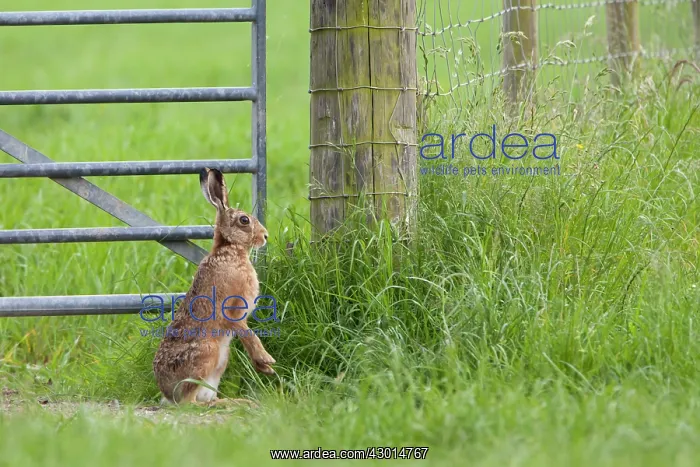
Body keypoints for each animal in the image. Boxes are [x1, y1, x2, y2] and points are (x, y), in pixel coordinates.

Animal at [153, 168, 276, 405]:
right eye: (244, 220)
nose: (265, 236)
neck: (229, 249)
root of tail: (167, 393)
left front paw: (264, 368)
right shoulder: (233, 309)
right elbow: (249, 334)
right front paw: (267, 360)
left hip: (221, 360)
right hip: (206, 353)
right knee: (188, 403)